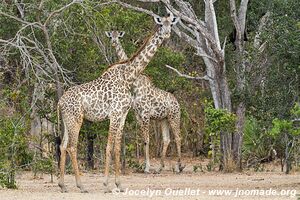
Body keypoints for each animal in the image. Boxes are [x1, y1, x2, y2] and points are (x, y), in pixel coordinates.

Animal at [105, 30, 183, 173]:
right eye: (110, 36)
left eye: (118, 36)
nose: (113, 42)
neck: (135, 83)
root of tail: (177, 103)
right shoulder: (138, 114)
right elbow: (144, 140)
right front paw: (146, 167)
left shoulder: (146, 114)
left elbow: (147, 139)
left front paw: (146, 167)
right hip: (163, 119)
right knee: (167, 139)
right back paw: (160, 168)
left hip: (174, 116)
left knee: (178, 137)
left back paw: (179, 167)